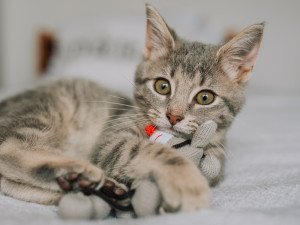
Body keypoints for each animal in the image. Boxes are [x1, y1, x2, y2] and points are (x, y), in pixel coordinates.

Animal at [0, 4, 264, 213]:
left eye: (205, 97)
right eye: (162, 86)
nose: (174, 116)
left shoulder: (216, 159)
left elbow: (212, 165)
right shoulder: (111, 141)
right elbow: (152, 151)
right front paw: (188, 182)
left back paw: (88, 185)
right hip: (45, 109)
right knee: (9, 147)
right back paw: (83, 173)